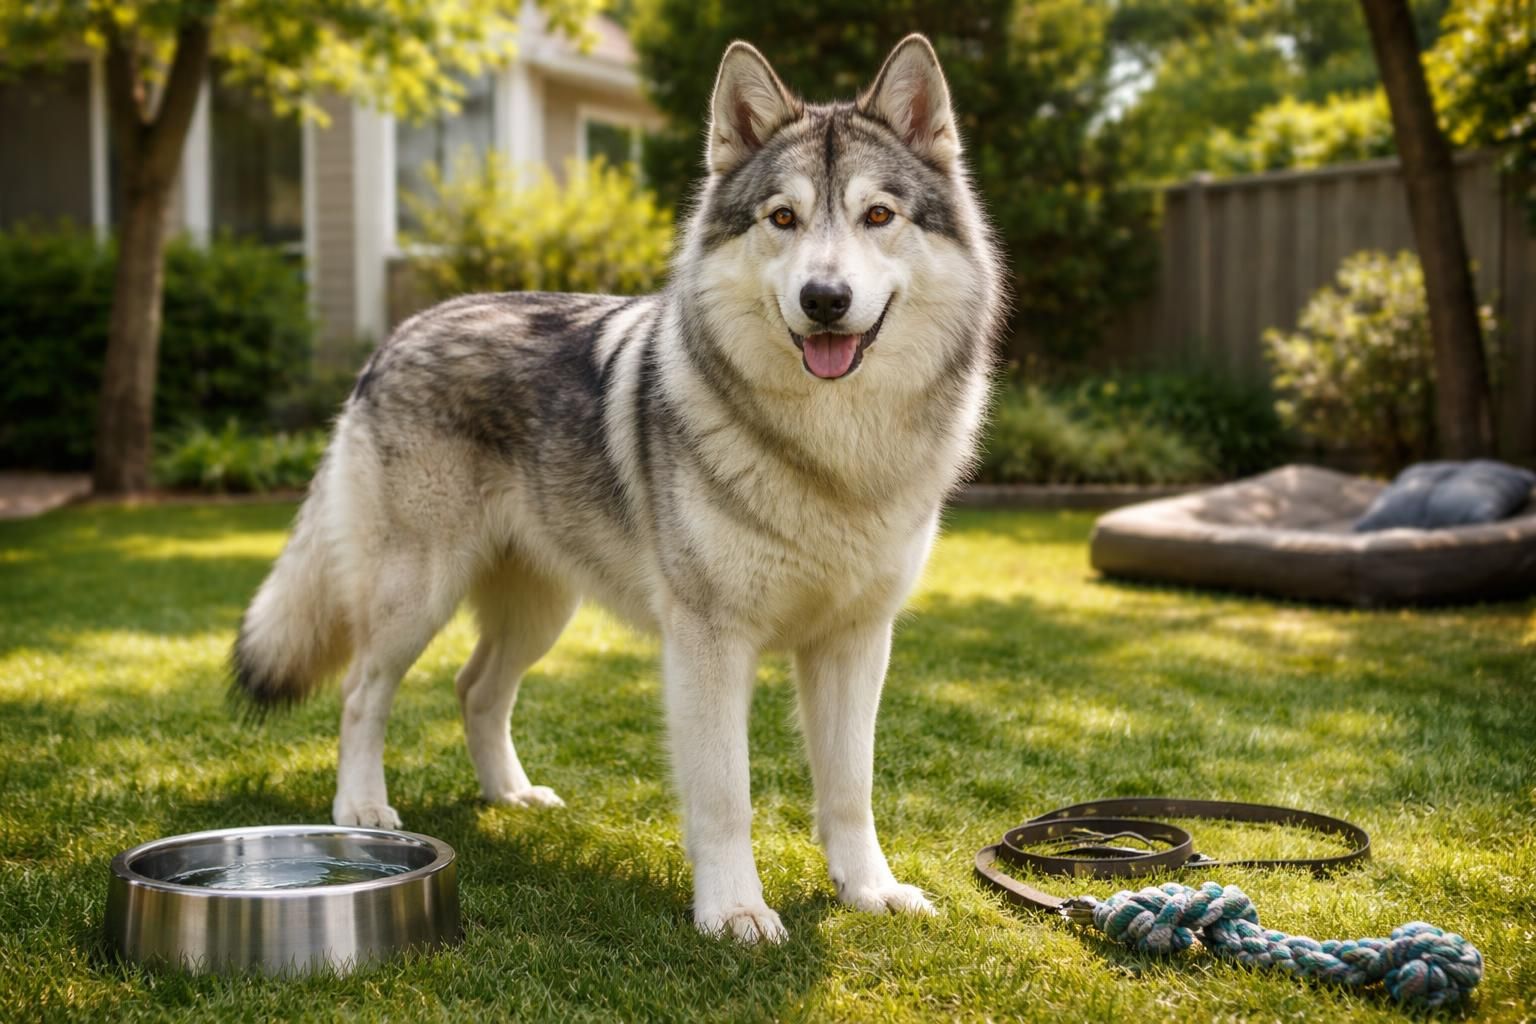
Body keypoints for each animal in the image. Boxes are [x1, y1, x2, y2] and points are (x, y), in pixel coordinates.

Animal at [233, 34, 1005, 944]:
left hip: (541, 613)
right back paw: (361, 809)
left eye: (877, 217)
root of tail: (397, 335)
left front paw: (869, 891)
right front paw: (735, 911)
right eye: (782, 218)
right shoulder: (710, 644)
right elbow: (726, 795)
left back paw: (511, 796)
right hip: (415, 599)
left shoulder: (855, 642)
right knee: (361, 693)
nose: (824, 299)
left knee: (474, 689)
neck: (831, 451)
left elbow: (851, 789)